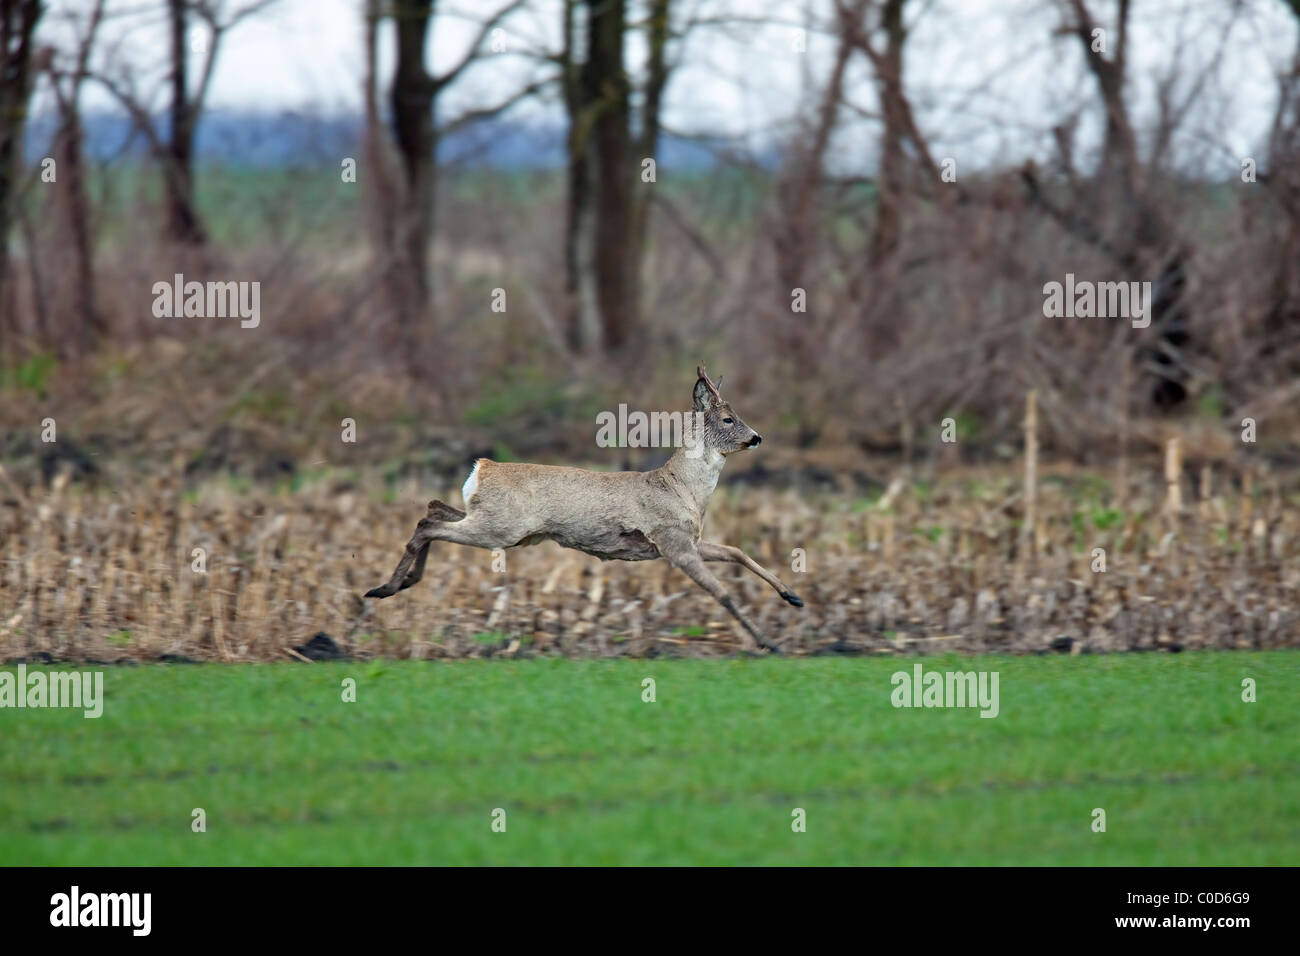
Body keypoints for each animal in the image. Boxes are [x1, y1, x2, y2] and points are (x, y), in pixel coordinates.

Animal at [361, 364, 795, 650]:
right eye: (729, 418)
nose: (757, 437)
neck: (680, 488)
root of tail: (481, 468)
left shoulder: (687, 542)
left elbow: (737, 552)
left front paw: (792, 597)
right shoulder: (674, 544)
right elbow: (722, 593)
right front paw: (767, 643)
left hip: (497, 523)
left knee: (433, 508)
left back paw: (395, 585)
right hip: (501, 529)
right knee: (426, 525)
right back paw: (386, 587)